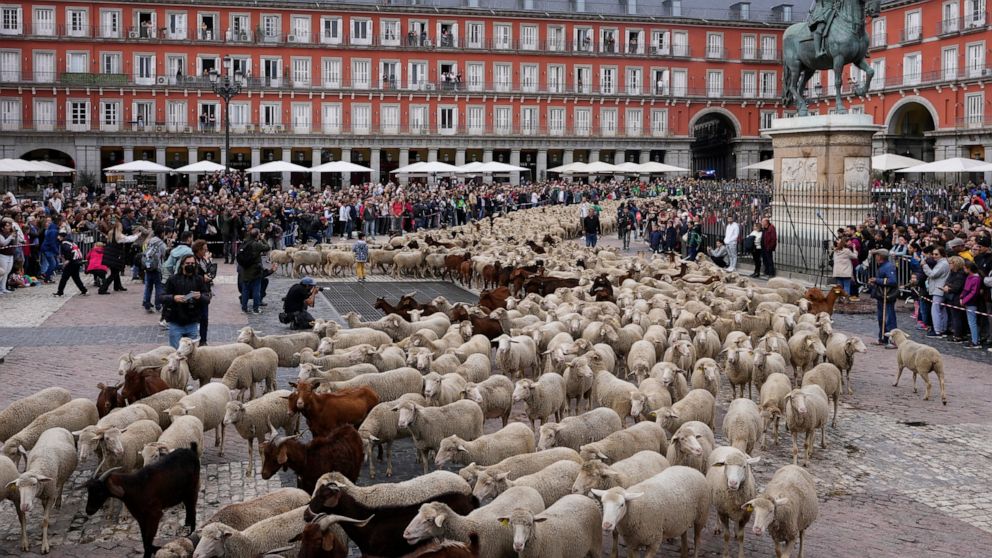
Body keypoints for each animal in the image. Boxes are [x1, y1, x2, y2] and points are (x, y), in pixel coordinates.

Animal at [8, 428, 77, 556]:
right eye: (18, 487)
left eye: (34, 484)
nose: (24, 506)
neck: (39, 465)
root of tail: (57, 427)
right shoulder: (44, 494)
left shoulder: (50, 495)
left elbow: (45, 519)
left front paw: (45, 545)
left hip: (61, 476)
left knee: (60, 486)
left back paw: (58, 502)